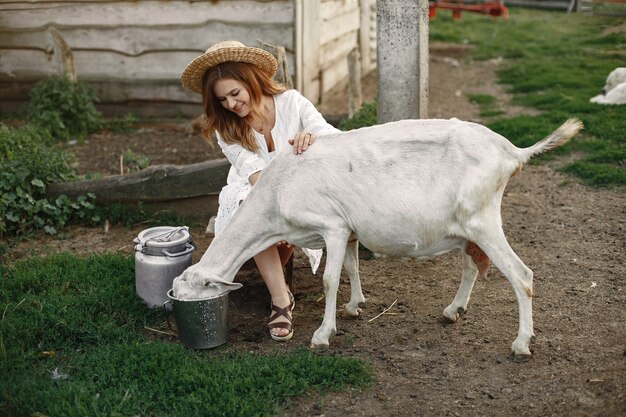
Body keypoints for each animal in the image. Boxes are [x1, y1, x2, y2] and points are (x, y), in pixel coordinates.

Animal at [171, 116, 580, 358]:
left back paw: (521, 343)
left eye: (187, 296)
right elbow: (352, 268)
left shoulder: (332, 225)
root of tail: (513, 152)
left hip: (483, 220)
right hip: (469, 226)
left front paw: (323, 333)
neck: (276, 196)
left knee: (521, 275)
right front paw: (355, 306)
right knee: (472, 267)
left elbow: (331, 279)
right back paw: (453, 311)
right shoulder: (349, 229)